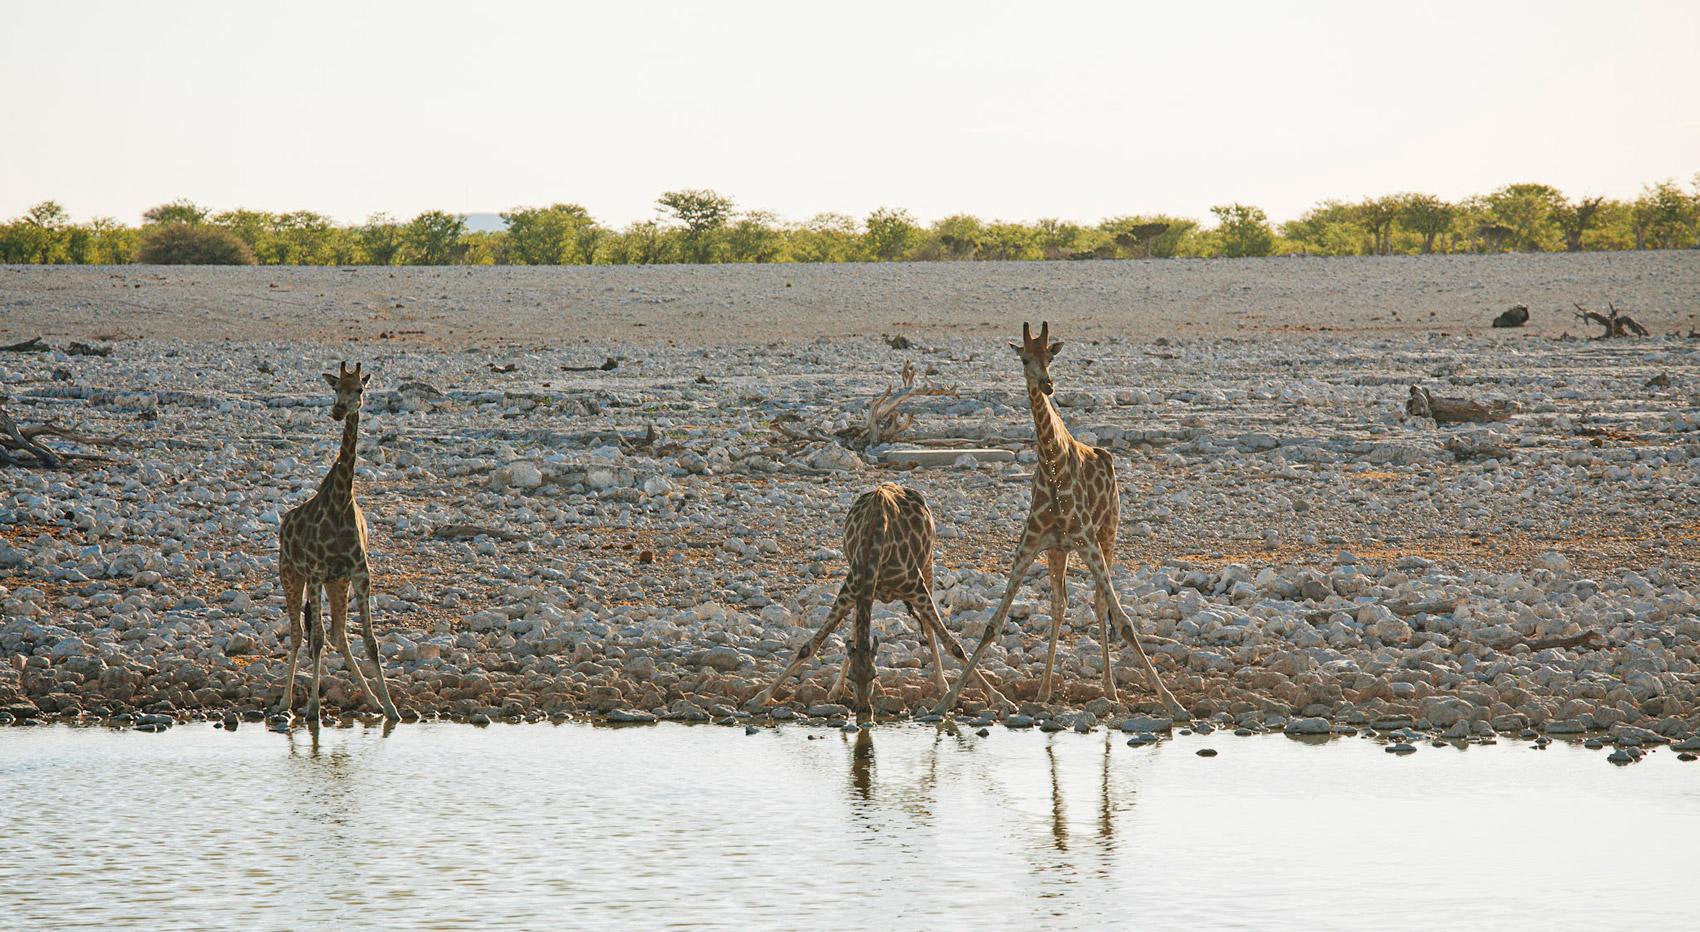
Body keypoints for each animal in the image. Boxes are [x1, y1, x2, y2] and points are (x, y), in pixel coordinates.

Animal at [276, 361, 400, 723]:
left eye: (359, 388)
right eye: (335, 388)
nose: (339, 410)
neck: (342, 500)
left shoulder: (359, 573)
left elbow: (370, 641)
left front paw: (392, 709)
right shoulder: (316, 572)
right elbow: (315, 639)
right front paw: (313, 709)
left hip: (337, 582)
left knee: (339, 634)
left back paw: (374, 702)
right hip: (291, 575)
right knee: (299, 634)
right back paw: (286, 703)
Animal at [747, 482, 1010, 723]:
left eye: (875, 676)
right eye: (853, 677)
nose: (864, 713)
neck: (874, 547)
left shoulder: (915, 588)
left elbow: (954, 646)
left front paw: (998, 697)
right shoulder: (850, 590)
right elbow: (809, 646)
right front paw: (760, 697)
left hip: (928, 563)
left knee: (928, 625)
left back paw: (943, 685)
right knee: (854, 628)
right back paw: (835, 691)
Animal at [935, 322, 1185, 718]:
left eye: (1050, 357)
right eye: (1024, 358)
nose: (1048, 385)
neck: (1052, 469)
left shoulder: (1089, 541)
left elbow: (1125, 621)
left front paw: (1171, 702)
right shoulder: (1031, 545)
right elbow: (992, 625)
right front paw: (948, 698)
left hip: (1108, 534)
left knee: (1099, 603)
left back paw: (1110, 689)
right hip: (1060, 551)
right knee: (1060, 604)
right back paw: (1044, 690)